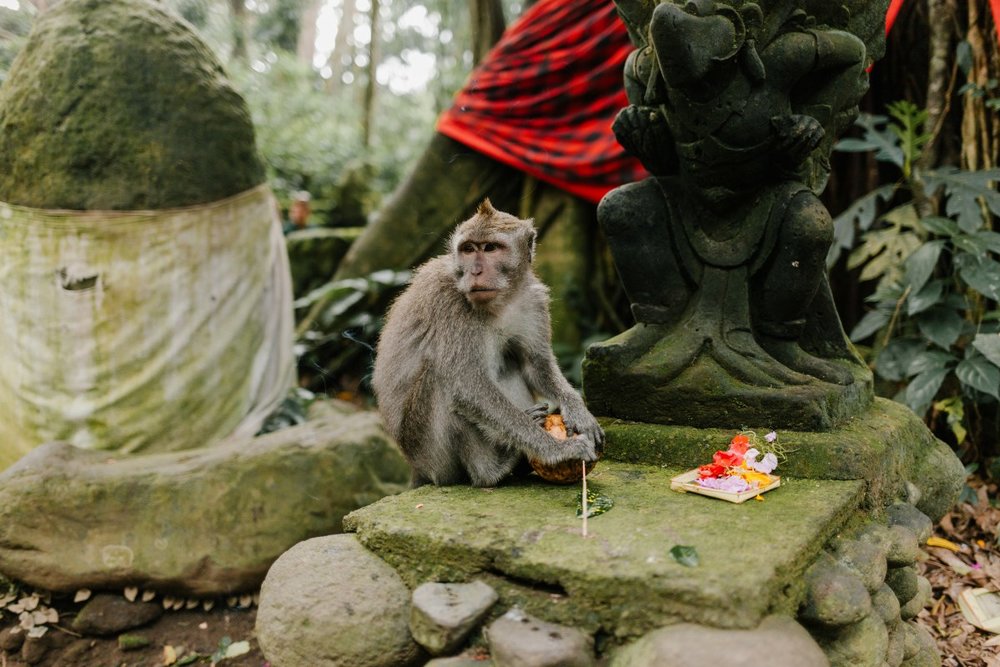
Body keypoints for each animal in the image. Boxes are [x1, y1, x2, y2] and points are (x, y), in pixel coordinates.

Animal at [372, 199, 604, 487]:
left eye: (491, 248)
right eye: (468, 249)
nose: (475, 271)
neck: (501, 301)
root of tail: (416, 467)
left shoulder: (533, 300)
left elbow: (535, 363)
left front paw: (578, 410)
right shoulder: (451, 304)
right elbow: (467, 387)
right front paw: (557, 450)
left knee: (509, 362)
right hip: (428, 452)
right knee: (441, 377)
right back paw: (494, 469)